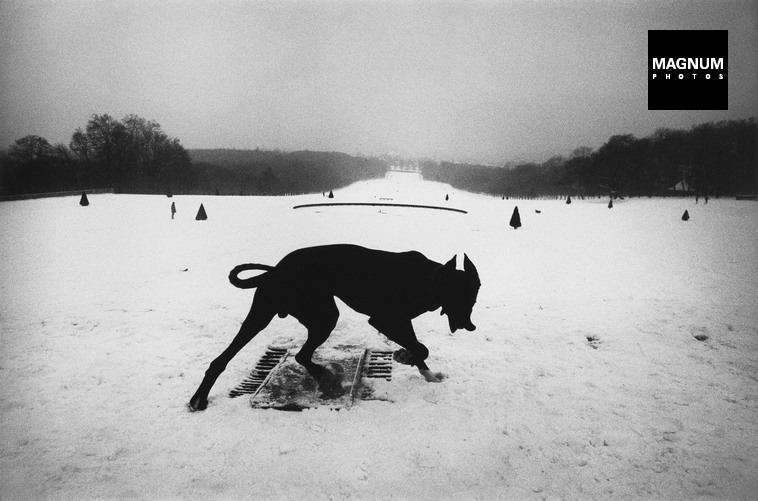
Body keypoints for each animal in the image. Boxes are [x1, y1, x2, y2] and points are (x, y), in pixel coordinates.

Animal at [189, 242, 480, 410]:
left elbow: (419, 348)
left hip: (311, 315)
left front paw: (427, 373)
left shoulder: (401, 322)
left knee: (300, 355)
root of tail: (274, 270)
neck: (429, 279)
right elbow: (420, 347)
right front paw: (404, 356)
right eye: (458, 298)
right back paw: (199, 398)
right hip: (291, 316)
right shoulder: (385, 320)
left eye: (473, 298)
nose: (470, 326)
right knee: (227, 359)